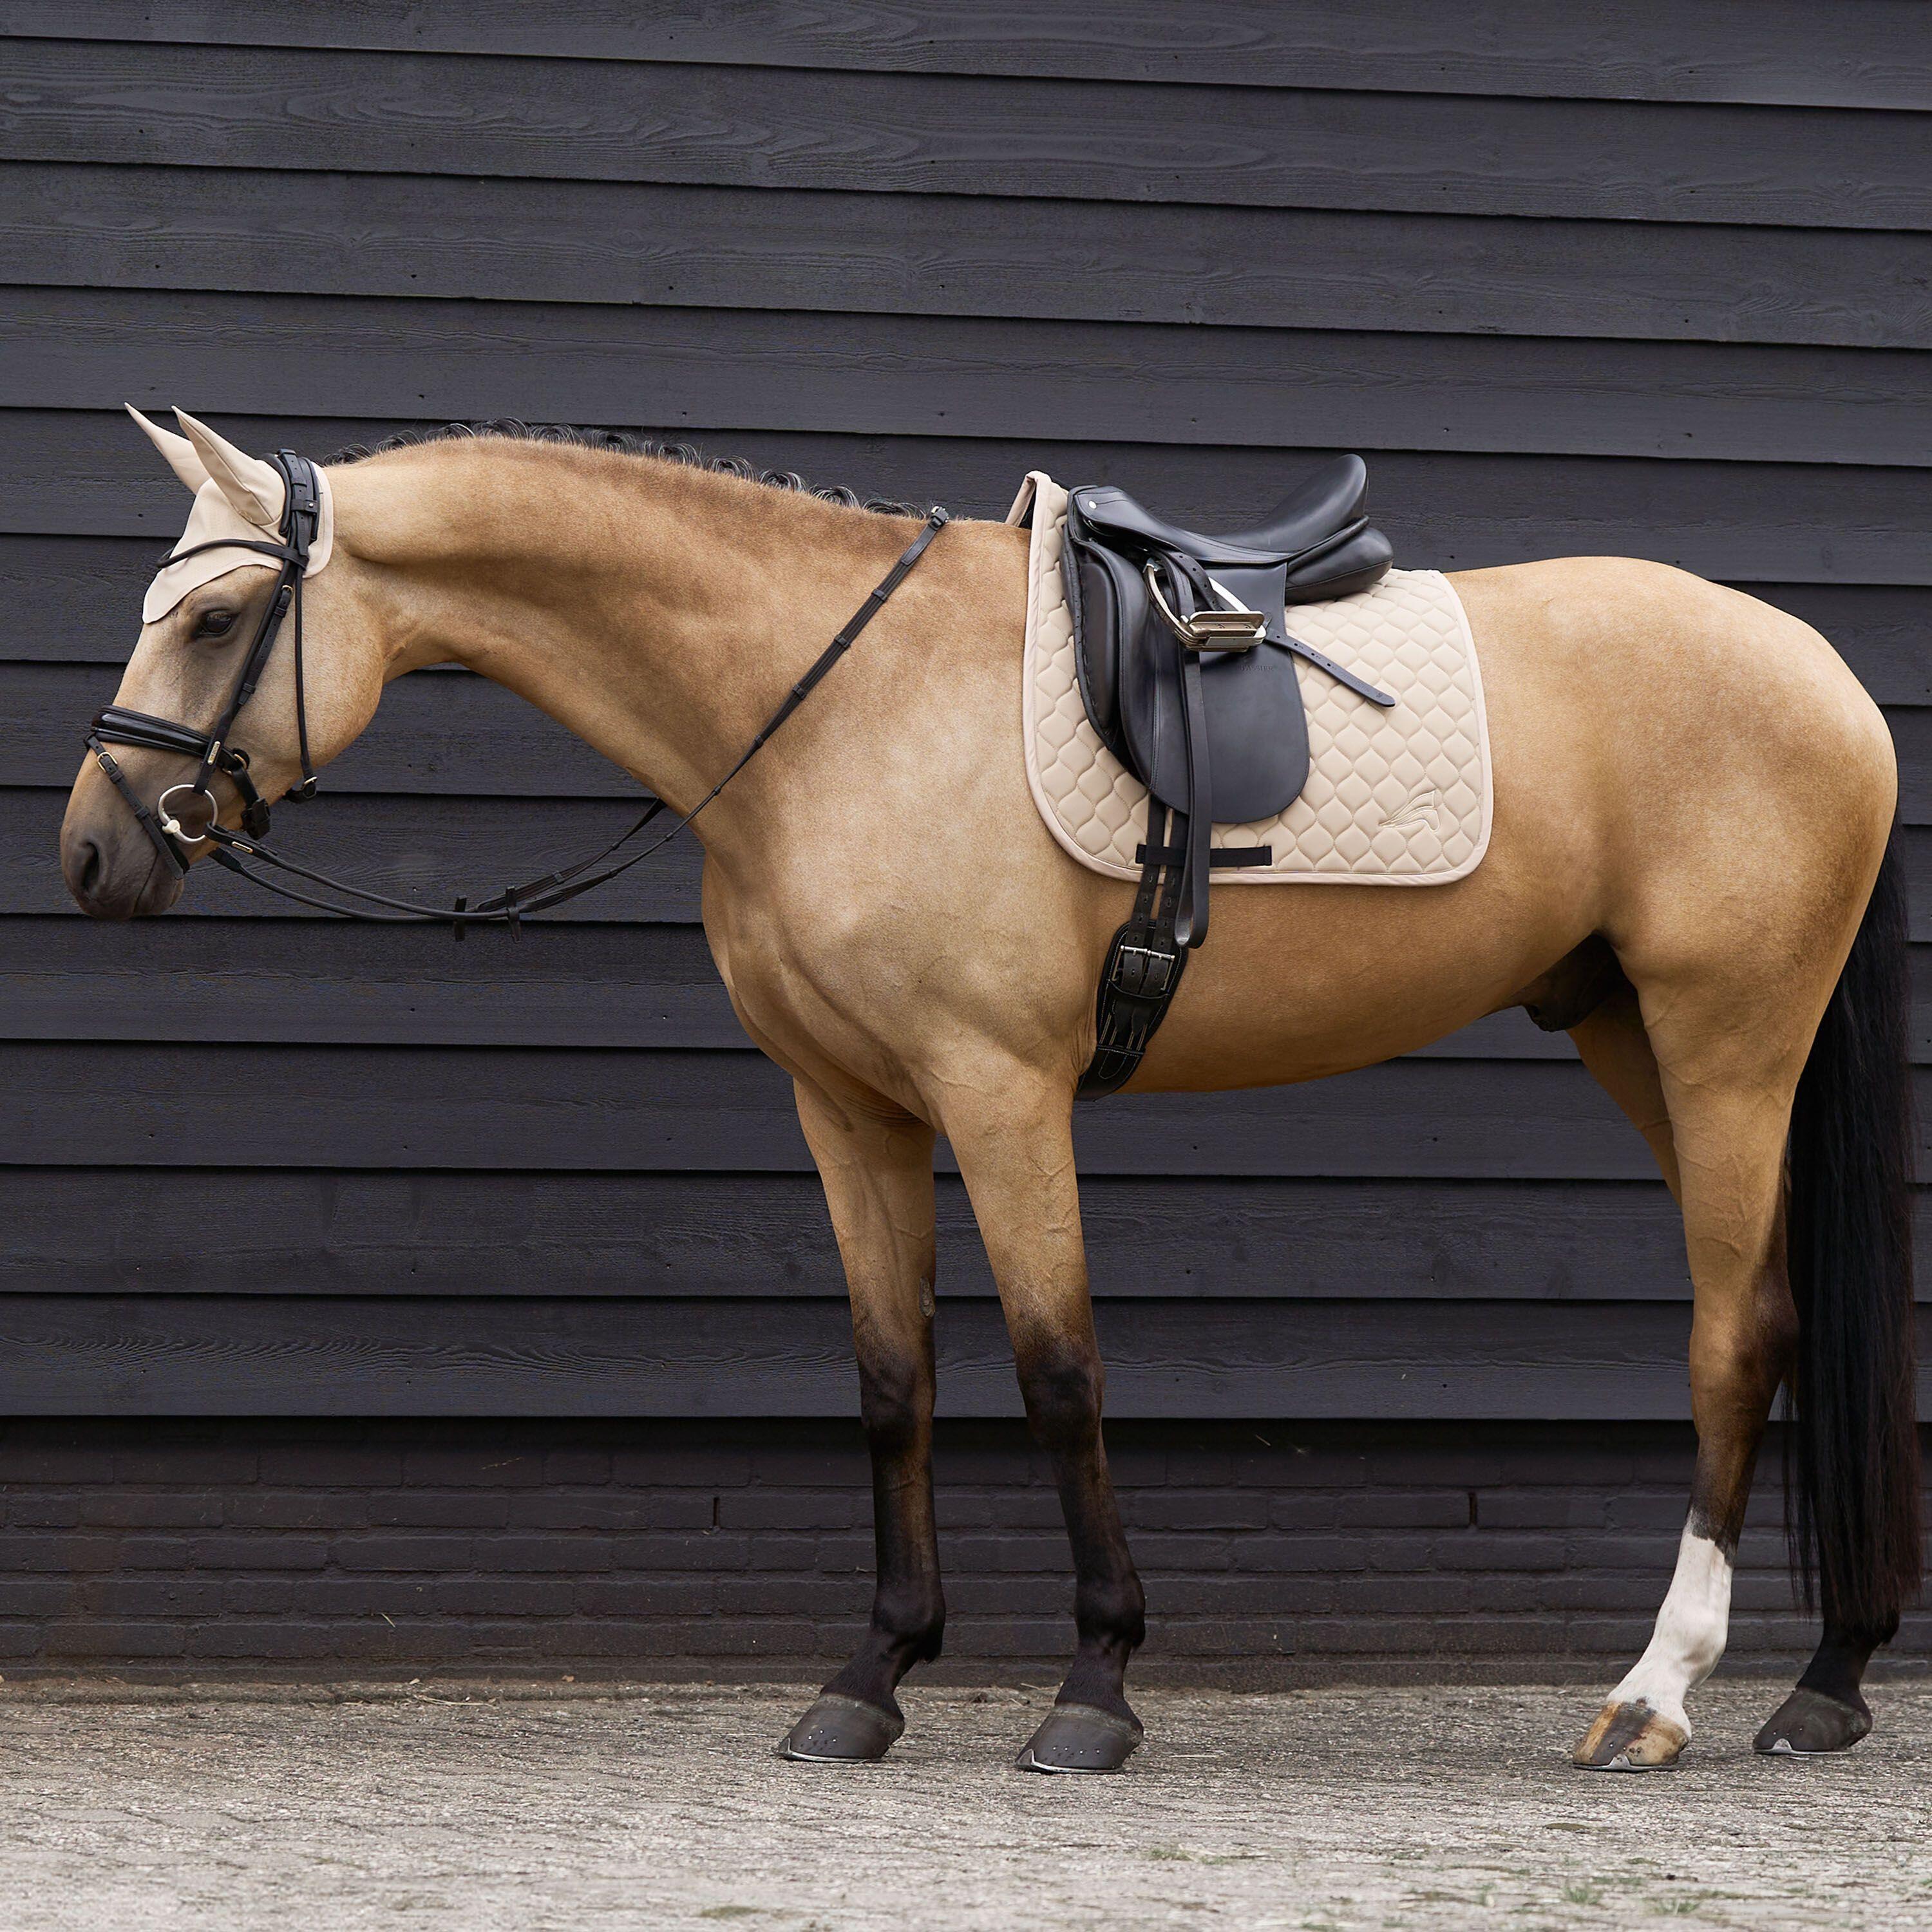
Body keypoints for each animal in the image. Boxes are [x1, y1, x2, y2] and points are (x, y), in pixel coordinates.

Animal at [61, 408, 1920, 1775]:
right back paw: (1822, 1680)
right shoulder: (848, 1107)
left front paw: (1092, 1690)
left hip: (1723, 1037)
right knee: (1791, 1315)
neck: (826, 704)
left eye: (213, 618)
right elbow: (895, 1381)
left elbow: (1054, 1369)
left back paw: (1658, 1695)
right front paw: (869, 1679)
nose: (92, 853)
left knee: (1733, 1334)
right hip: (1630, 1035)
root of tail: (1819, 671)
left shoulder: (1001, 1089)